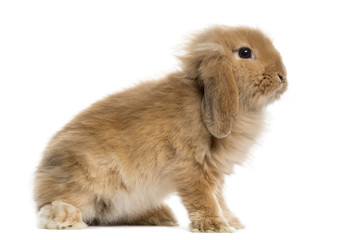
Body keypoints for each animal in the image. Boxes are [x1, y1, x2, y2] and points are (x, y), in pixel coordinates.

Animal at [34, 25, 288, 232]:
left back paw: (161, 216)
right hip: (85, 183)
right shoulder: (190, 168)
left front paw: (232, 222)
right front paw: (216, 226)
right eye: (245, 52)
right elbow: (203, 198)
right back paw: (66, 218)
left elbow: (219, 198)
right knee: (54, 211)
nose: (283, 77)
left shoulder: (214, 170)